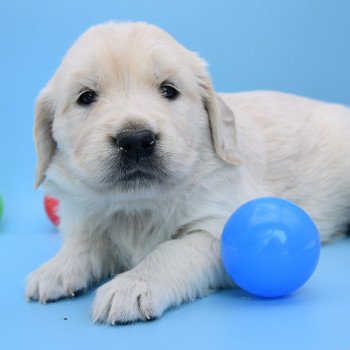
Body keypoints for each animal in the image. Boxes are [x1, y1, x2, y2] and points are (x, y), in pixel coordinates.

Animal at [26, 21, 350, 322]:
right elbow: (83, 243)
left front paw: (132, 285)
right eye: (86, 97)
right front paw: (55, 269)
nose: (135, 140)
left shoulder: (218, 226)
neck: (138, 206)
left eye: (169, 90)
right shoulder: (87, 217)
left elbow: (171, 251)